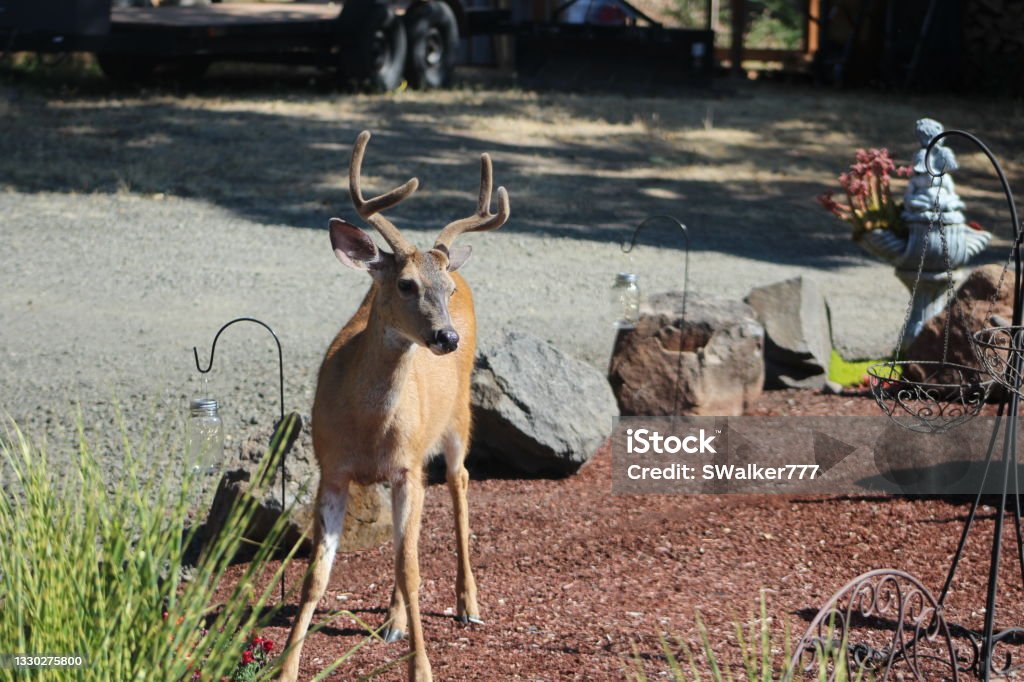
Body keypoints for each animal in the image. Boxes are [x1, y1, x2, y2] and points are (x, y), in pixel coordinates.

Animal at [278, 129, 509, 679]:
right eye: (406, 284)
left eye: (444, 288)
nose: (446, 336)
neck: (366, 426)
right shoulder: (333, 468)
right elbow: (316, 578)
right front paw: (285, 668)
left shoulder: (406, 467)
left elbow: (411, 569)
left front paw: (421, 669)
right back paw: (393, 619)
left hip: (459, 416)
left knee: (459, 481)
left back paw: (468, 604)